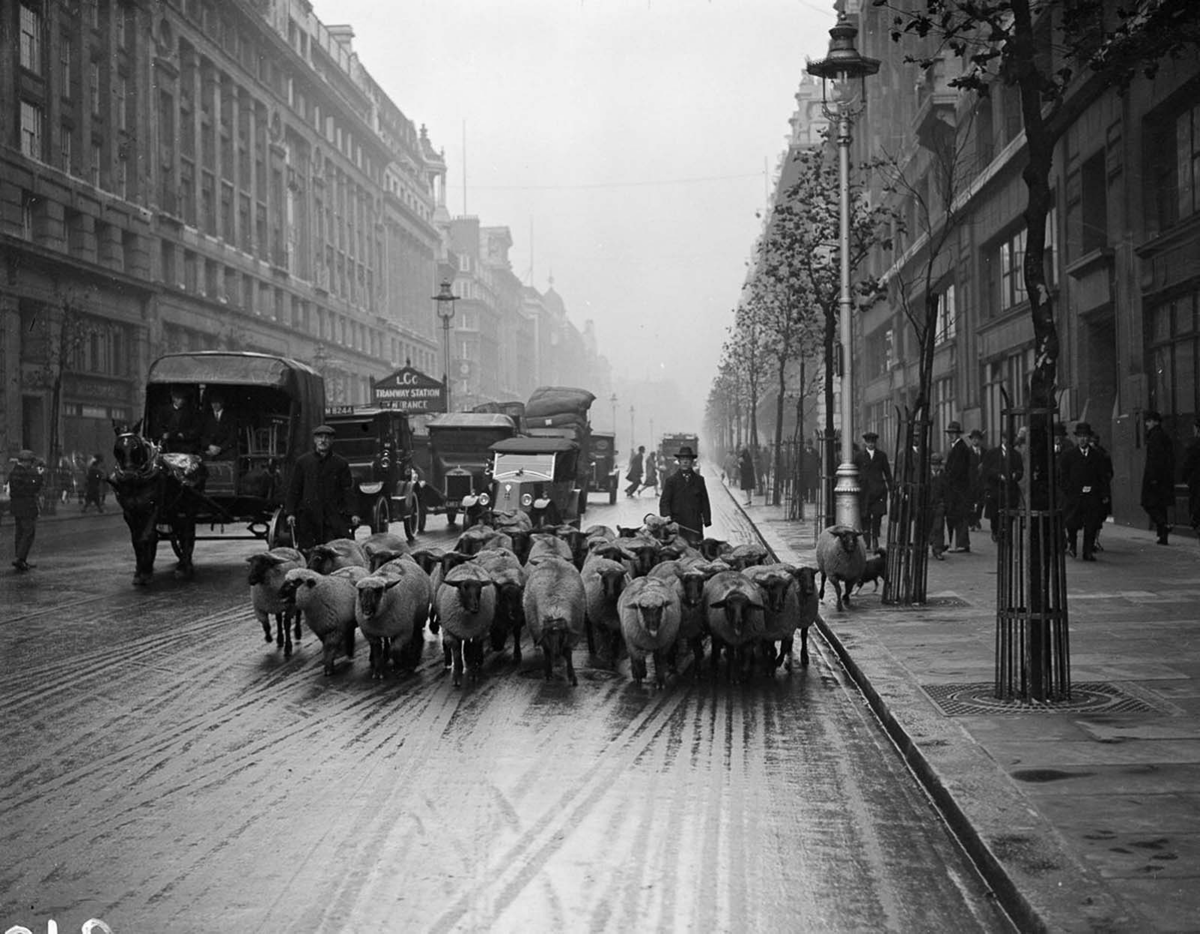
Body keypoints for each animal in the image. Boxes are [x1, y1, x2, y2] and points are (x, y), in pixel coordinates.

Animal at [109, 424, 202, 585]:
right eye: (117, 449)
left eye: (136, 447)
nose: (128, 475)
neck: (137, 483)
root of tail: (195, 457)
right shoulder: (130, 513)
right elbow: (137, 540)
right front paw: (140, 571)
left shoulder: (155, 508)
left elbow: (146, 537)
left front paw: (146, 570)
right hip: (174, 511)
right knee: (180, 532)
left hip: (190, 508)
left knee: (187, 534)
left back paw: (184, 567)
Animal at [436, 557, 496, 686]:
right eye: (464, 588)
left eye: (480, 589)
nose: (475, 607)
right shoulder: (450, 630)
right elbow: (456, 652)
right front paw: (457, 675)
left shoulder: (477, 632)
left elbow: (474, 648)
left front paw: (473, 673)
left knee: (473, 645)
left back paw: (476, 660)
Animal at [525, 552, 585, 681]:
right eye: (549, 635)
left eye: (562, 635)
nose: (557, 653)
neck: (555, 609)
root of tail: (553, 559)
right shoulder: (542, 634)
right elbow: (547, 652)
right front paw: (548, 673)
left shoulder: (569, 636)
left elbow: (568, 653)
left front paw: (572, 675)